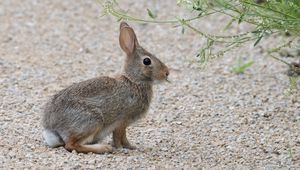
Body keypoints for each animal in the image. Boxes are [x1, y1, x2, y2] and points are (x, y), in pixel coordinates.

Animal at [41, 21, 170, 154]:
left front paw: (130, 147)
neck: (134, 81)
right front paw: (124, 148)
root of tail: (52, 128)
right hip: (92, 121)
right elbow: (119, 137)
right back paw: (103, 148)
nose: (167, 73)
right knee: (71, 145)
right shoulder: (122, 121)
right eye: (147, 61)